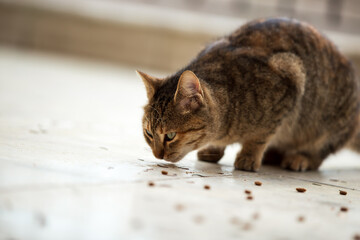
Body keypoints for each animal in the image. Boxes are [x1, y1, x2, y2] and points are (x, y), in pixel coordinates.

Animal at [136, 17, 358, 172]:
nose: (157, 155)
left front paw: (249, 157)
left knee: (319, 154)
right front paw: (213, 149)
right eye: (149, 134)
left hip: (329, 125)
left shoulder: (290, 80)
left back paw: (299, 158)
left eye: (170, 136)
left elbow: (260, 135)